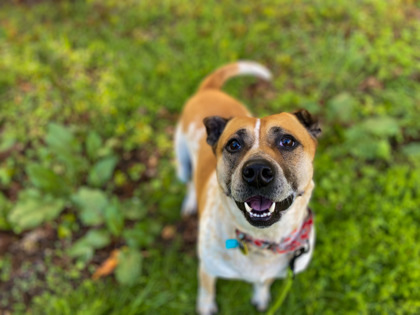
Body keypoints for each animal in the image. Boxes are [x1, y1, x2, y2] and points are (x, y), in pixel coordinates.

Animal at [174, 61, 322, 314]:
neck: (262, 242)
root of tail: (209, 90)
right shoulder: (207, 268)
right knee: (190, 180)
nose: (257, 173)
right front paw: (206, 307)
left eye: (287, 141)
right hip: (182, 160)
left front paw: (261, 296)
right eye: (233, 144)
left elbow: (264, 283)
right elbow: (206, 291)